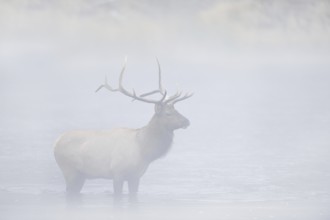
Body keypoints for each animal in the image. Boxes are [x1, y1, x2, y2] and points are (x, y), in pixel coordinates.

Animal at [53, 58, 193, 196]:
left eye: (176, 109)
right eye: (168, 113)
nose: (187, 121)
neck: (144, 150)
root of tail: (56, 142)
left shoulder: (136, 176)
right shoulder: (117, 173)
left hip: (81, 176)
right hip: (69, 170)